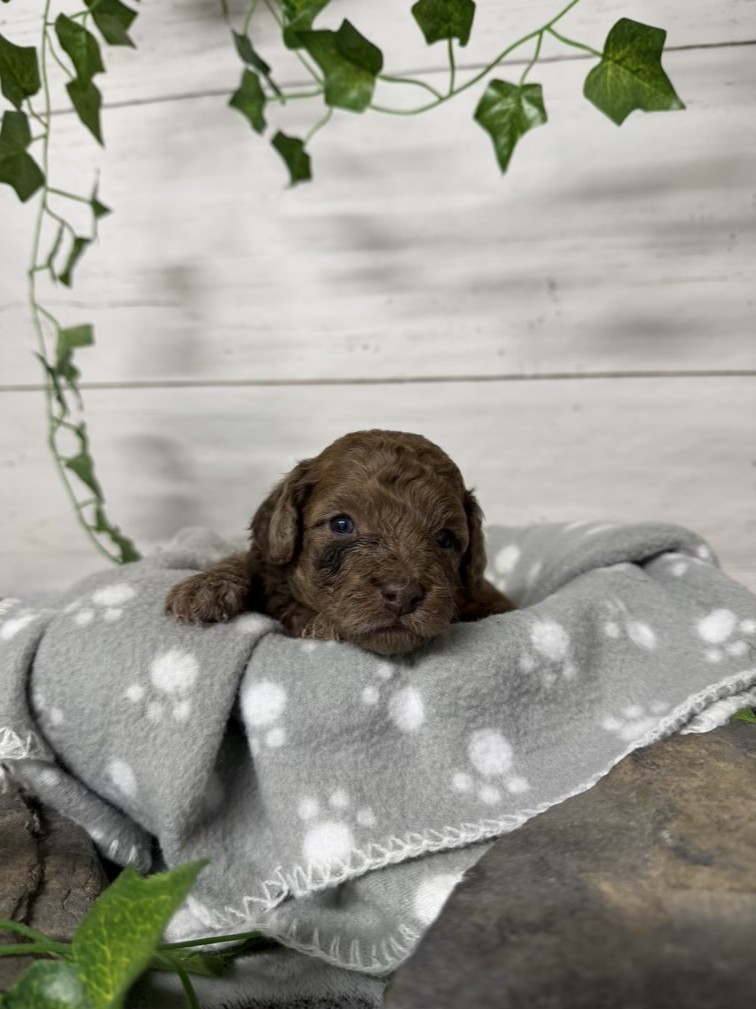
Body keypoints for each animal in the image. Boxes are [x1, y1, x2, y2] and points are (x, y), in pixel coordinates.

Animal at [165, 430, 513, 654]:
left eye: (444, 538)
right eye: (341, 524)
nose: (403, 595)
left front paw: (323, 627)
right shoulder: (270, 559)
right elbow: (253, 560)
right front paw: (205, 588)